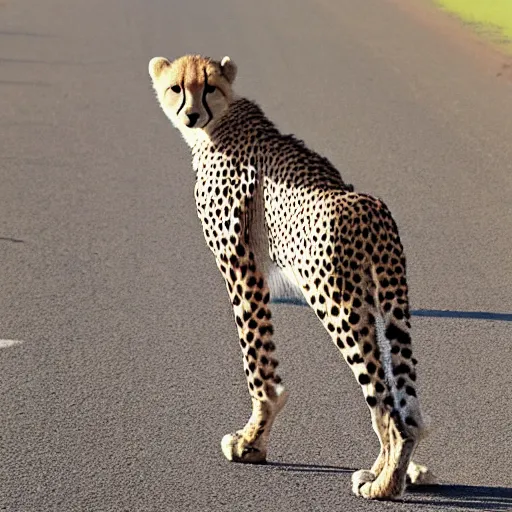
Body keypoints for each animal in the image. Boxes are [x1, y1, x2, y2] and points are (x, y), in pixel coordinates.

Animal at [149, 56, 436, 500]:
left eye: (209, 86)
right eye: (177, 87)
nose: (191, 114)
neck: (221, 123)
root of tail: (370, 206)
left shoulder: (241, 266)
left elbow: (257, 363)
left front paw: (250, 444)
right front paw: (254, 439)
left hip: (338, 305)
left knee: (388, 410)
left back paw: (385, 485)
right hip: (392, 305)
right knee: (409, 408)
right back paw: (392, 471)